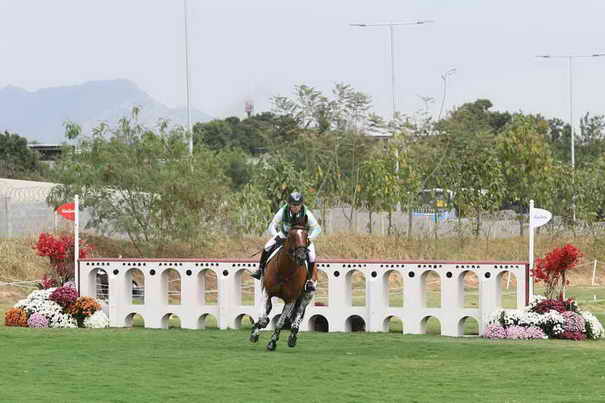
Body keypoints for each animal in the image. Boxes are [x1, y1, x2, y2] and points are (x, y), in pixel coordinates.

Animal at [249, 218, 316, 350]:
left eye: (306, 235)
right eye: (291, 236)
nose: (301, 257)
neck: (285, 270)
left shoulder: (290, 300)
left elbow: (280, 322)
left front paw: (272, 342)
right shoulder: (267, 292)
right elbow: (263, 317)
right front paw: (256, 332)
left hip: (307, 296)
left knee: (298, 314)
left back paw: (293, 336)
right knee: (268, 309)